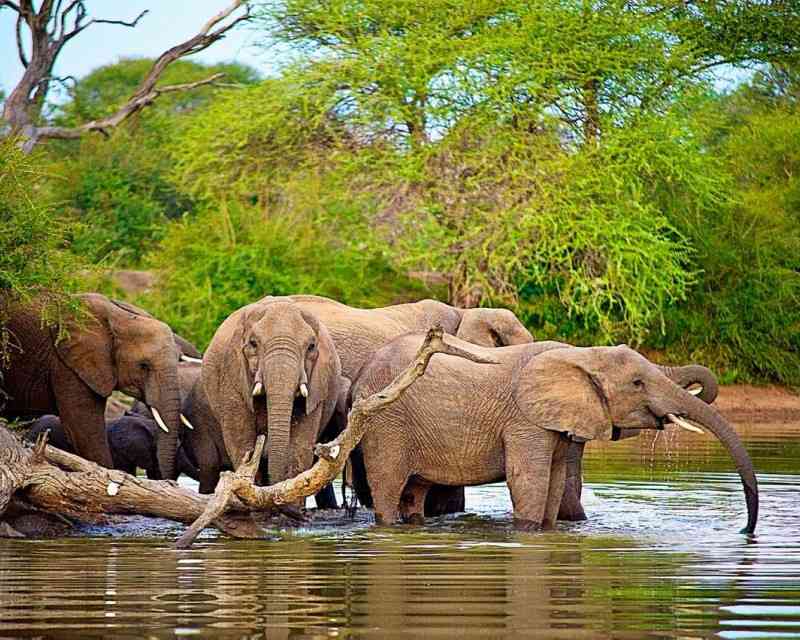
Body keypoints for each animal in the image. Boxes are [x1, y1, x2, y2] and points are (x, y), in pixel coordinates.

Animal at [202, 297, 344, 490]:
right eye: (253, 343)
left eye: (311, 346)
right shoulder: (232, 376)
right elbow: (242, 443)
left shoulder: (318, 385)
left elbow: (299, 447)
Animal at [350, 334, 758, 533]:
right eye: (638, 383)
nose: (746, 530)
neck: (581, 355)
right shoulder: (525, 420)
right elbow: (528, 479)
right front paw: (529, 533)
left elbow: (555, 478)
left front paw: (549, 532)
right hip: (386, 421)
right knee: (388, 487)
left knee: (414, 492)